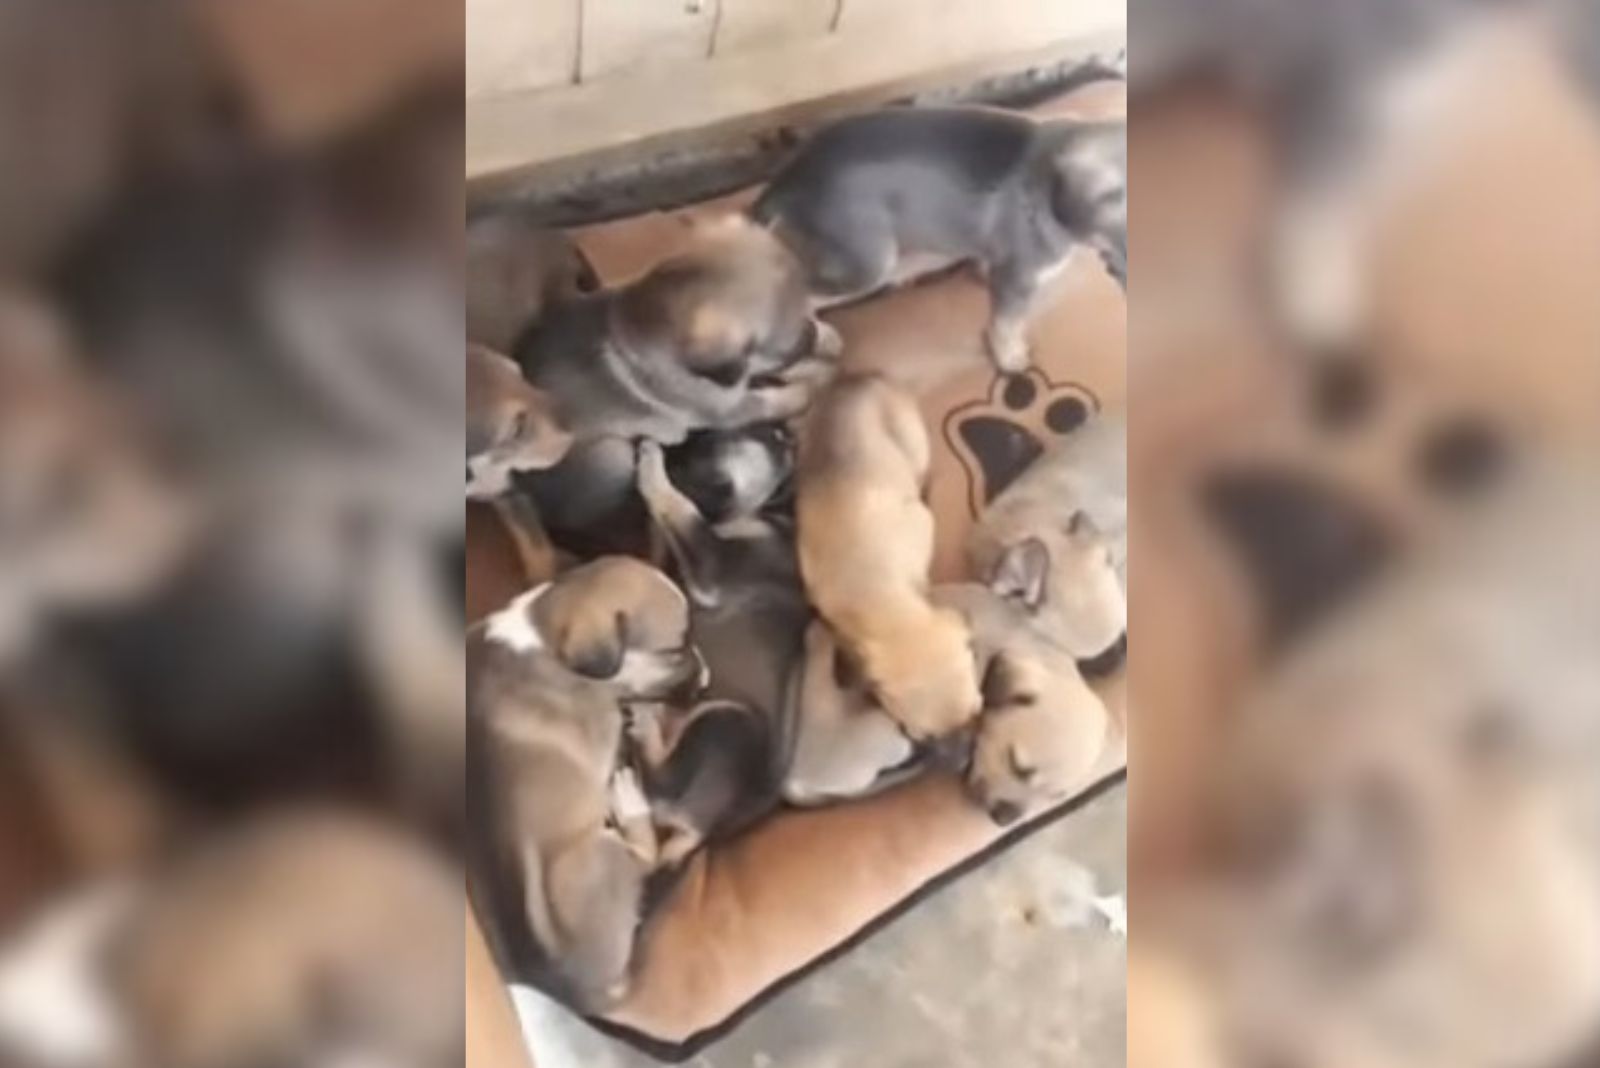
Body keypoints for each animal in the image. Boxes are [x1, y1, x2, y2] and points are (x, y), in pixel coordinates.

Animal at [467, 556, 707, 1016]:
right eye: (674, 649)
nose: (707, 679)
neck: (546, 636)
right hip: (599, 852)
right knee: (645, 859)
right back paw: (629, 800)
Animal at [758, 103, 1126, 370]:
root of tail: (788, 179)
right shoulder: (1016, 280)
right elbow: (1006, 324)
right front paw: (1009, 359)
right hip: (868, 264)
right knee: (805, 293)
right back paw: (824, 337)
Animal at [793, 378, 979, 748]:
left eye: (977, 713)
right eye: (917, 736)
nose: (961, 746)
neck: (875, 594)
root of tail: (858, 380)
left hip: (912, 443)